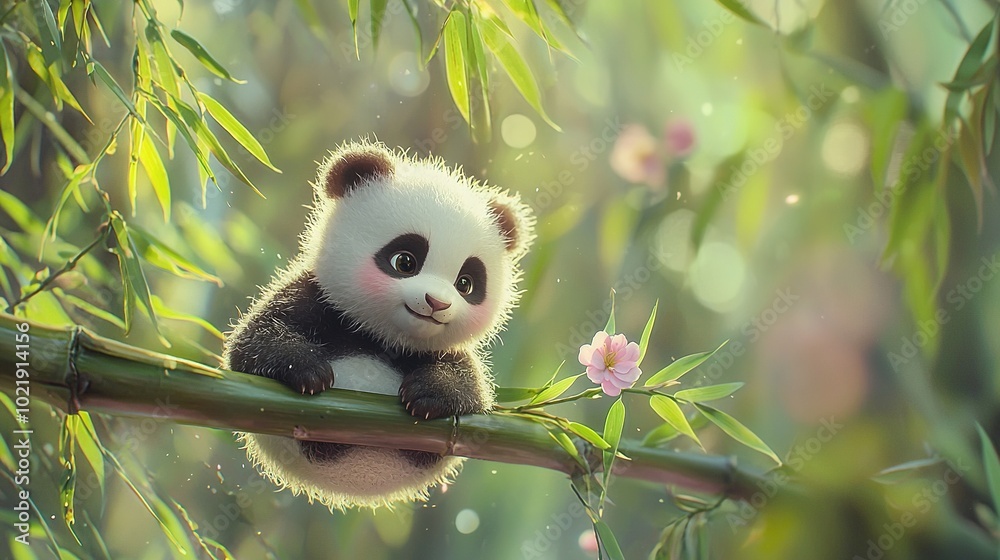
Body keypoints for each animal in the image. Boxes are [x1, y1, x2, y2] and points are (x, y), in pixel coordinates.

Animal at [223, 140, 534, 510]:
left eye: (465, 284)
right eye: (405, 261)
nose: (437, 303)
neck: (381, 337)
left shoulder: (447, 352)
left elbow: (470, 386)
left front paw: (427, 395)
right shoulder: (318, 298)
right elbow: (252, 343)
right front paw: (308, 370)